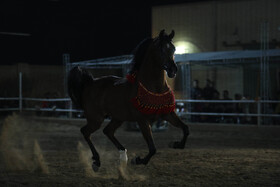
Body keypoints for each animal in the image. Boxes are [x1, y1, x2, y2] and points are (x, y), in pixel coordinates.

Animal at [68, 30, 190, 172]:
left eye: (174, 49)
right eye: (161, 48)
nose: (173, 70)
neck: (153, 87)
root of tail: (90, 83)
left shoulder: (167, 114)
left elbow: (185, 129)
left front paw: (176, 144)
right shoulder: (143, 121)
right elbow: (152, 149)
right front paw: (138, 160)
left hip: (117, 118)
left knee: (107, 131)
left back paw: (122, 156)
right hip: (96, 119)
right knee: (85, 132)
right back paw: (97, 161)